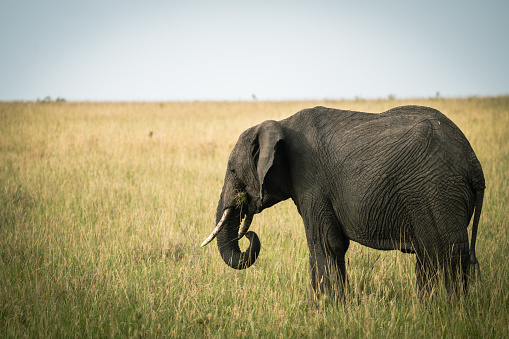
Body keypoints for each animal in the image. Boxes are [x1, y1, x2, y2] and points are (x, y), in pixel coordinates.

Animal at [199, 105, 484, 300]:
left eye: (233, 171)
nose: (248, 235)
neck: (281, 122)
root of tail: (474, 162)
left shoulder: (312, 182)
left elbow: (325, 243)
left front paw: (322, 309)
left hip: (437, 192)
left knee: (441, 253)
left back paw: (441, 310)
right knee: (433, 257)